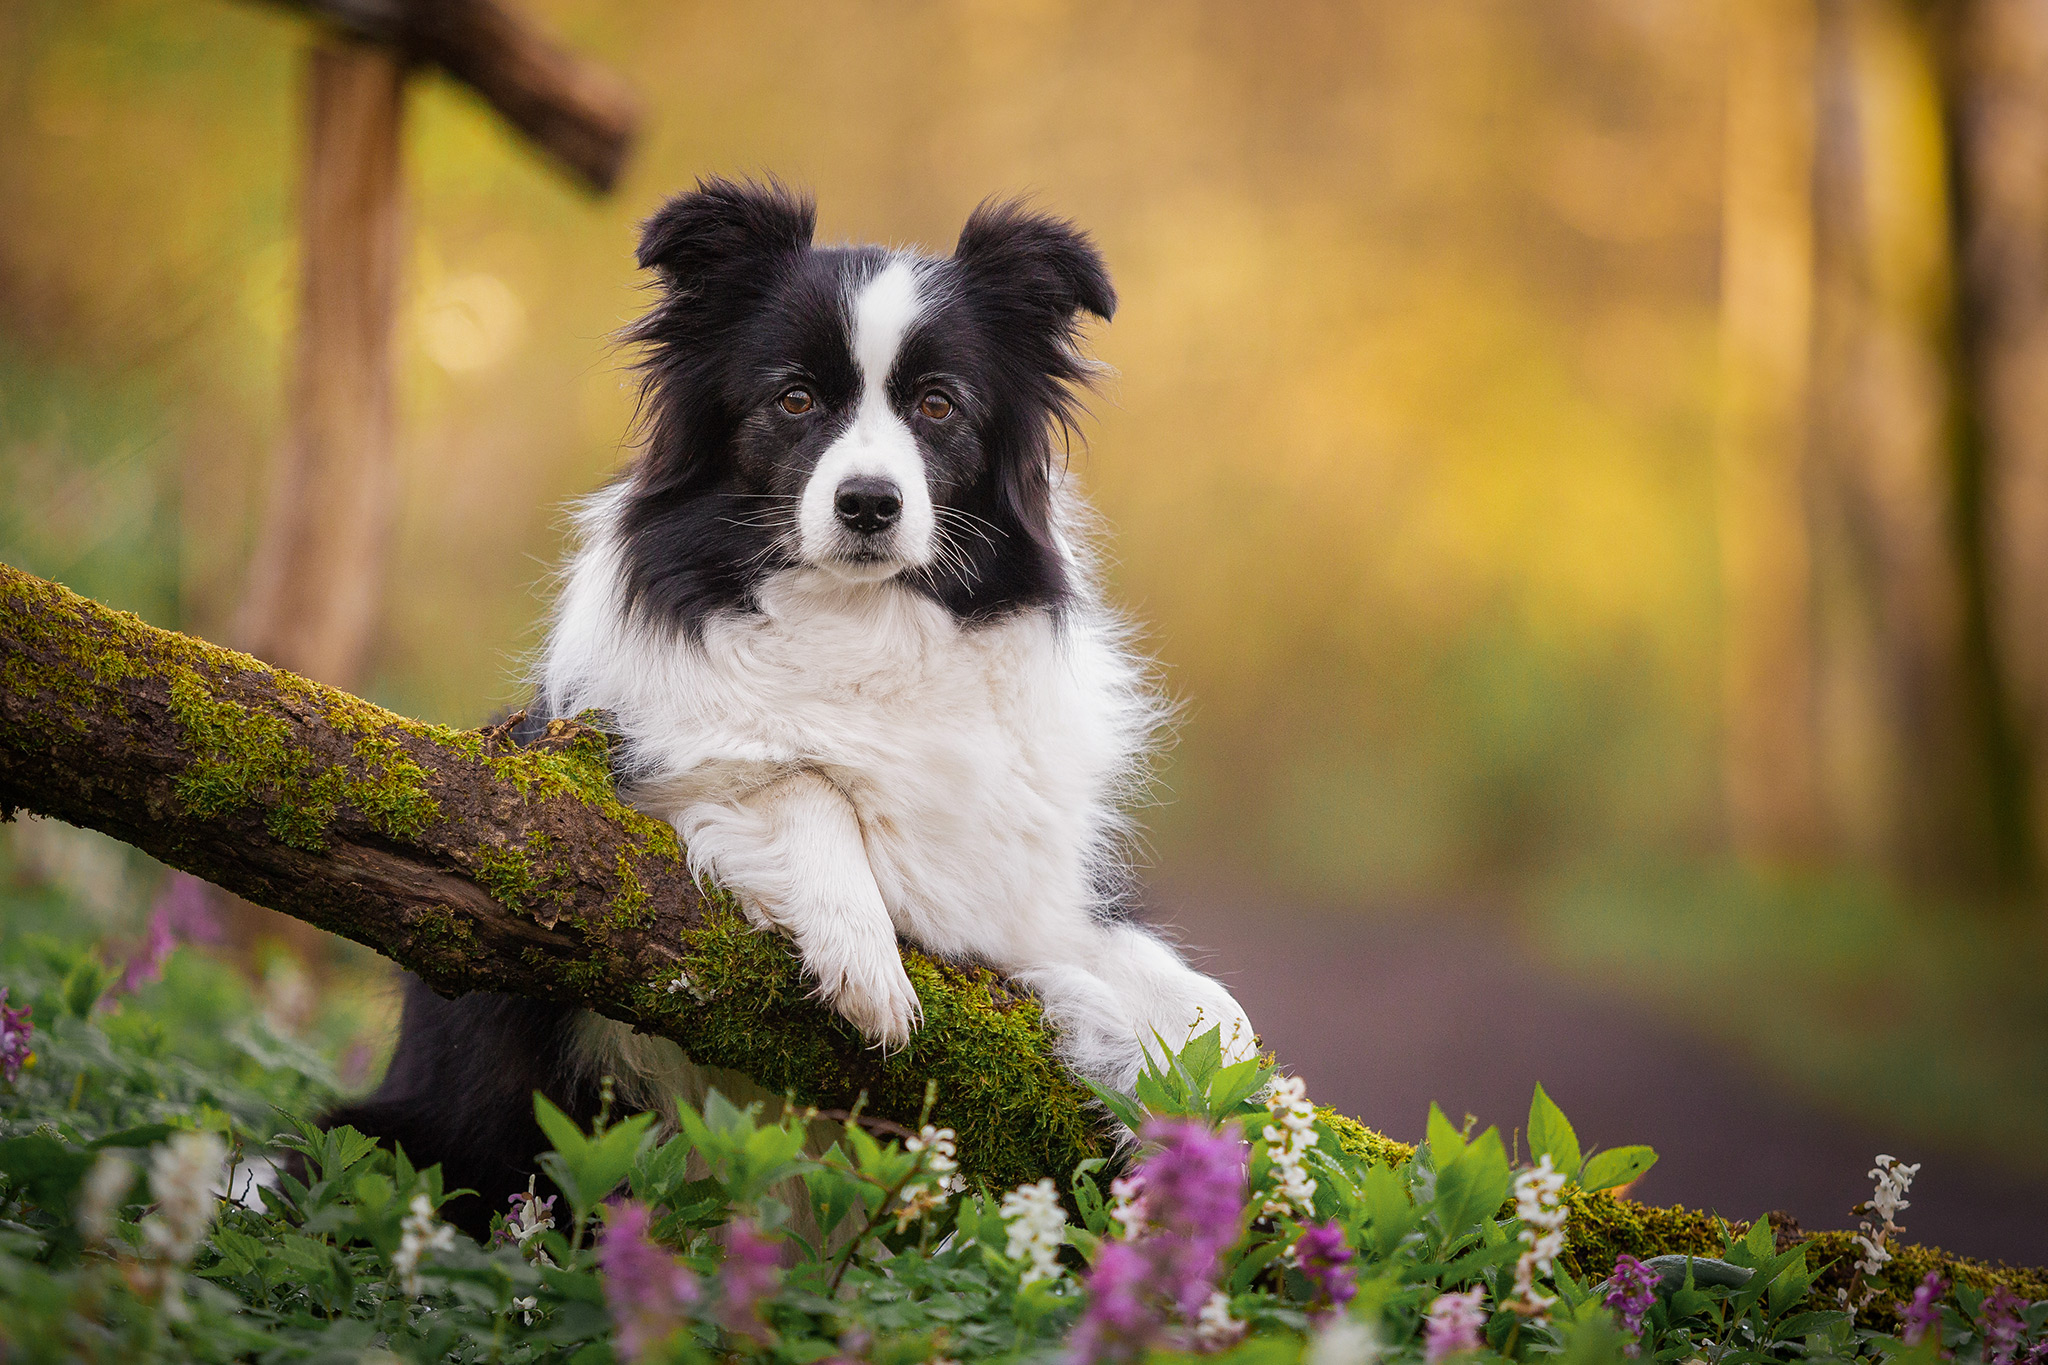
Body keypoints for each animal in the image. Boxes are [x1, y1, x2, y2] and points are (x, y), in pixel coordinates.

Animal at [327, 181, 1253, 1236]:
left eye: (939, 406)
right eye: (795, 399)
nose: (869, 504)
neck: (856, 619)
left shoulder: (1026, 905)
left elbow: (1212, 1012)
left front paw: (1249, 1121)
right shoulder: (582, 784)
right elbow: (792, 782)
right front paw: (866, 963)